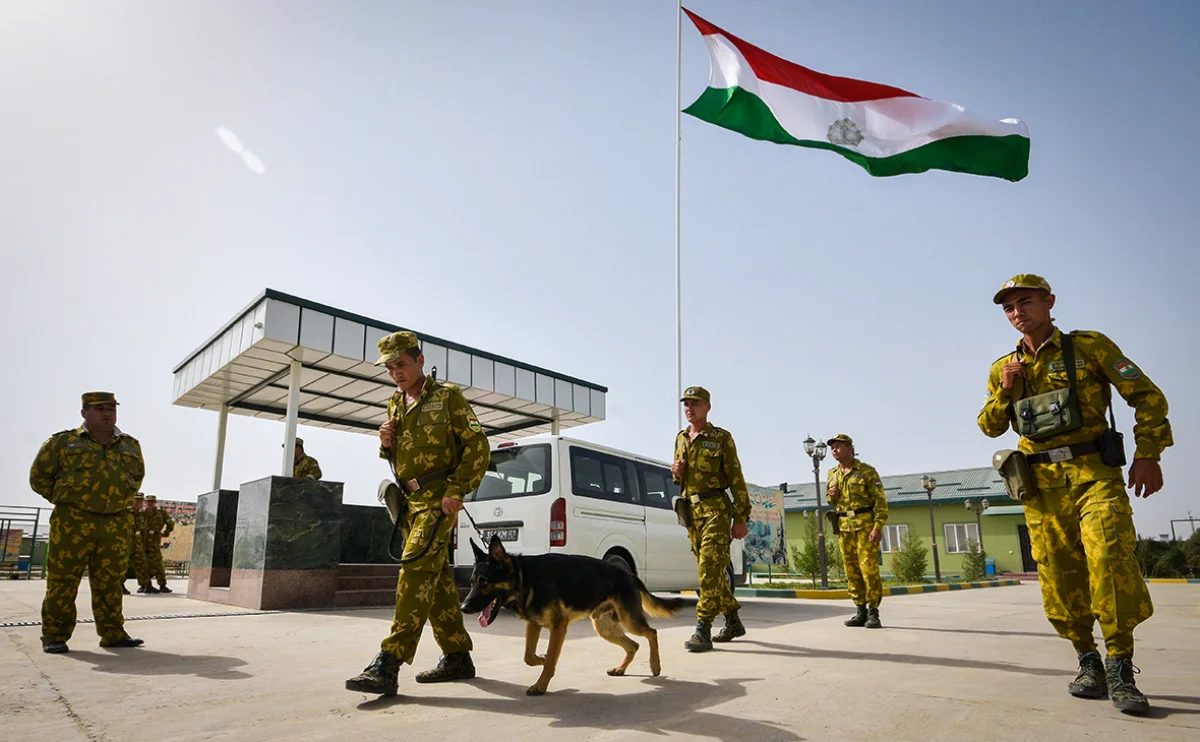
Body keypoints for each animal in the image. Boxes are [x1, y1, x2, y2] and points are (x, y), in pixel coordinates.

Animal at [458, 530, 686, 691]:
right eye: (472, 582)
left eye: (485, 583)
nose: (463, 607)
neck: (526, 578)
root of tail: (628, 574)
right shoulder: (534, 625)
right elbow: (529, 656)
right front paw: (540, 659)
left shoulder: (558, 627)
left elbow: (551, 659)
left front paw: (540, 685)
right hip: (604, 628)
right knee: (634, 645)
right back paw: (621, 669)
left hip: (629, 620)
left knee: (651, 633)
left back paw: (655, 665)